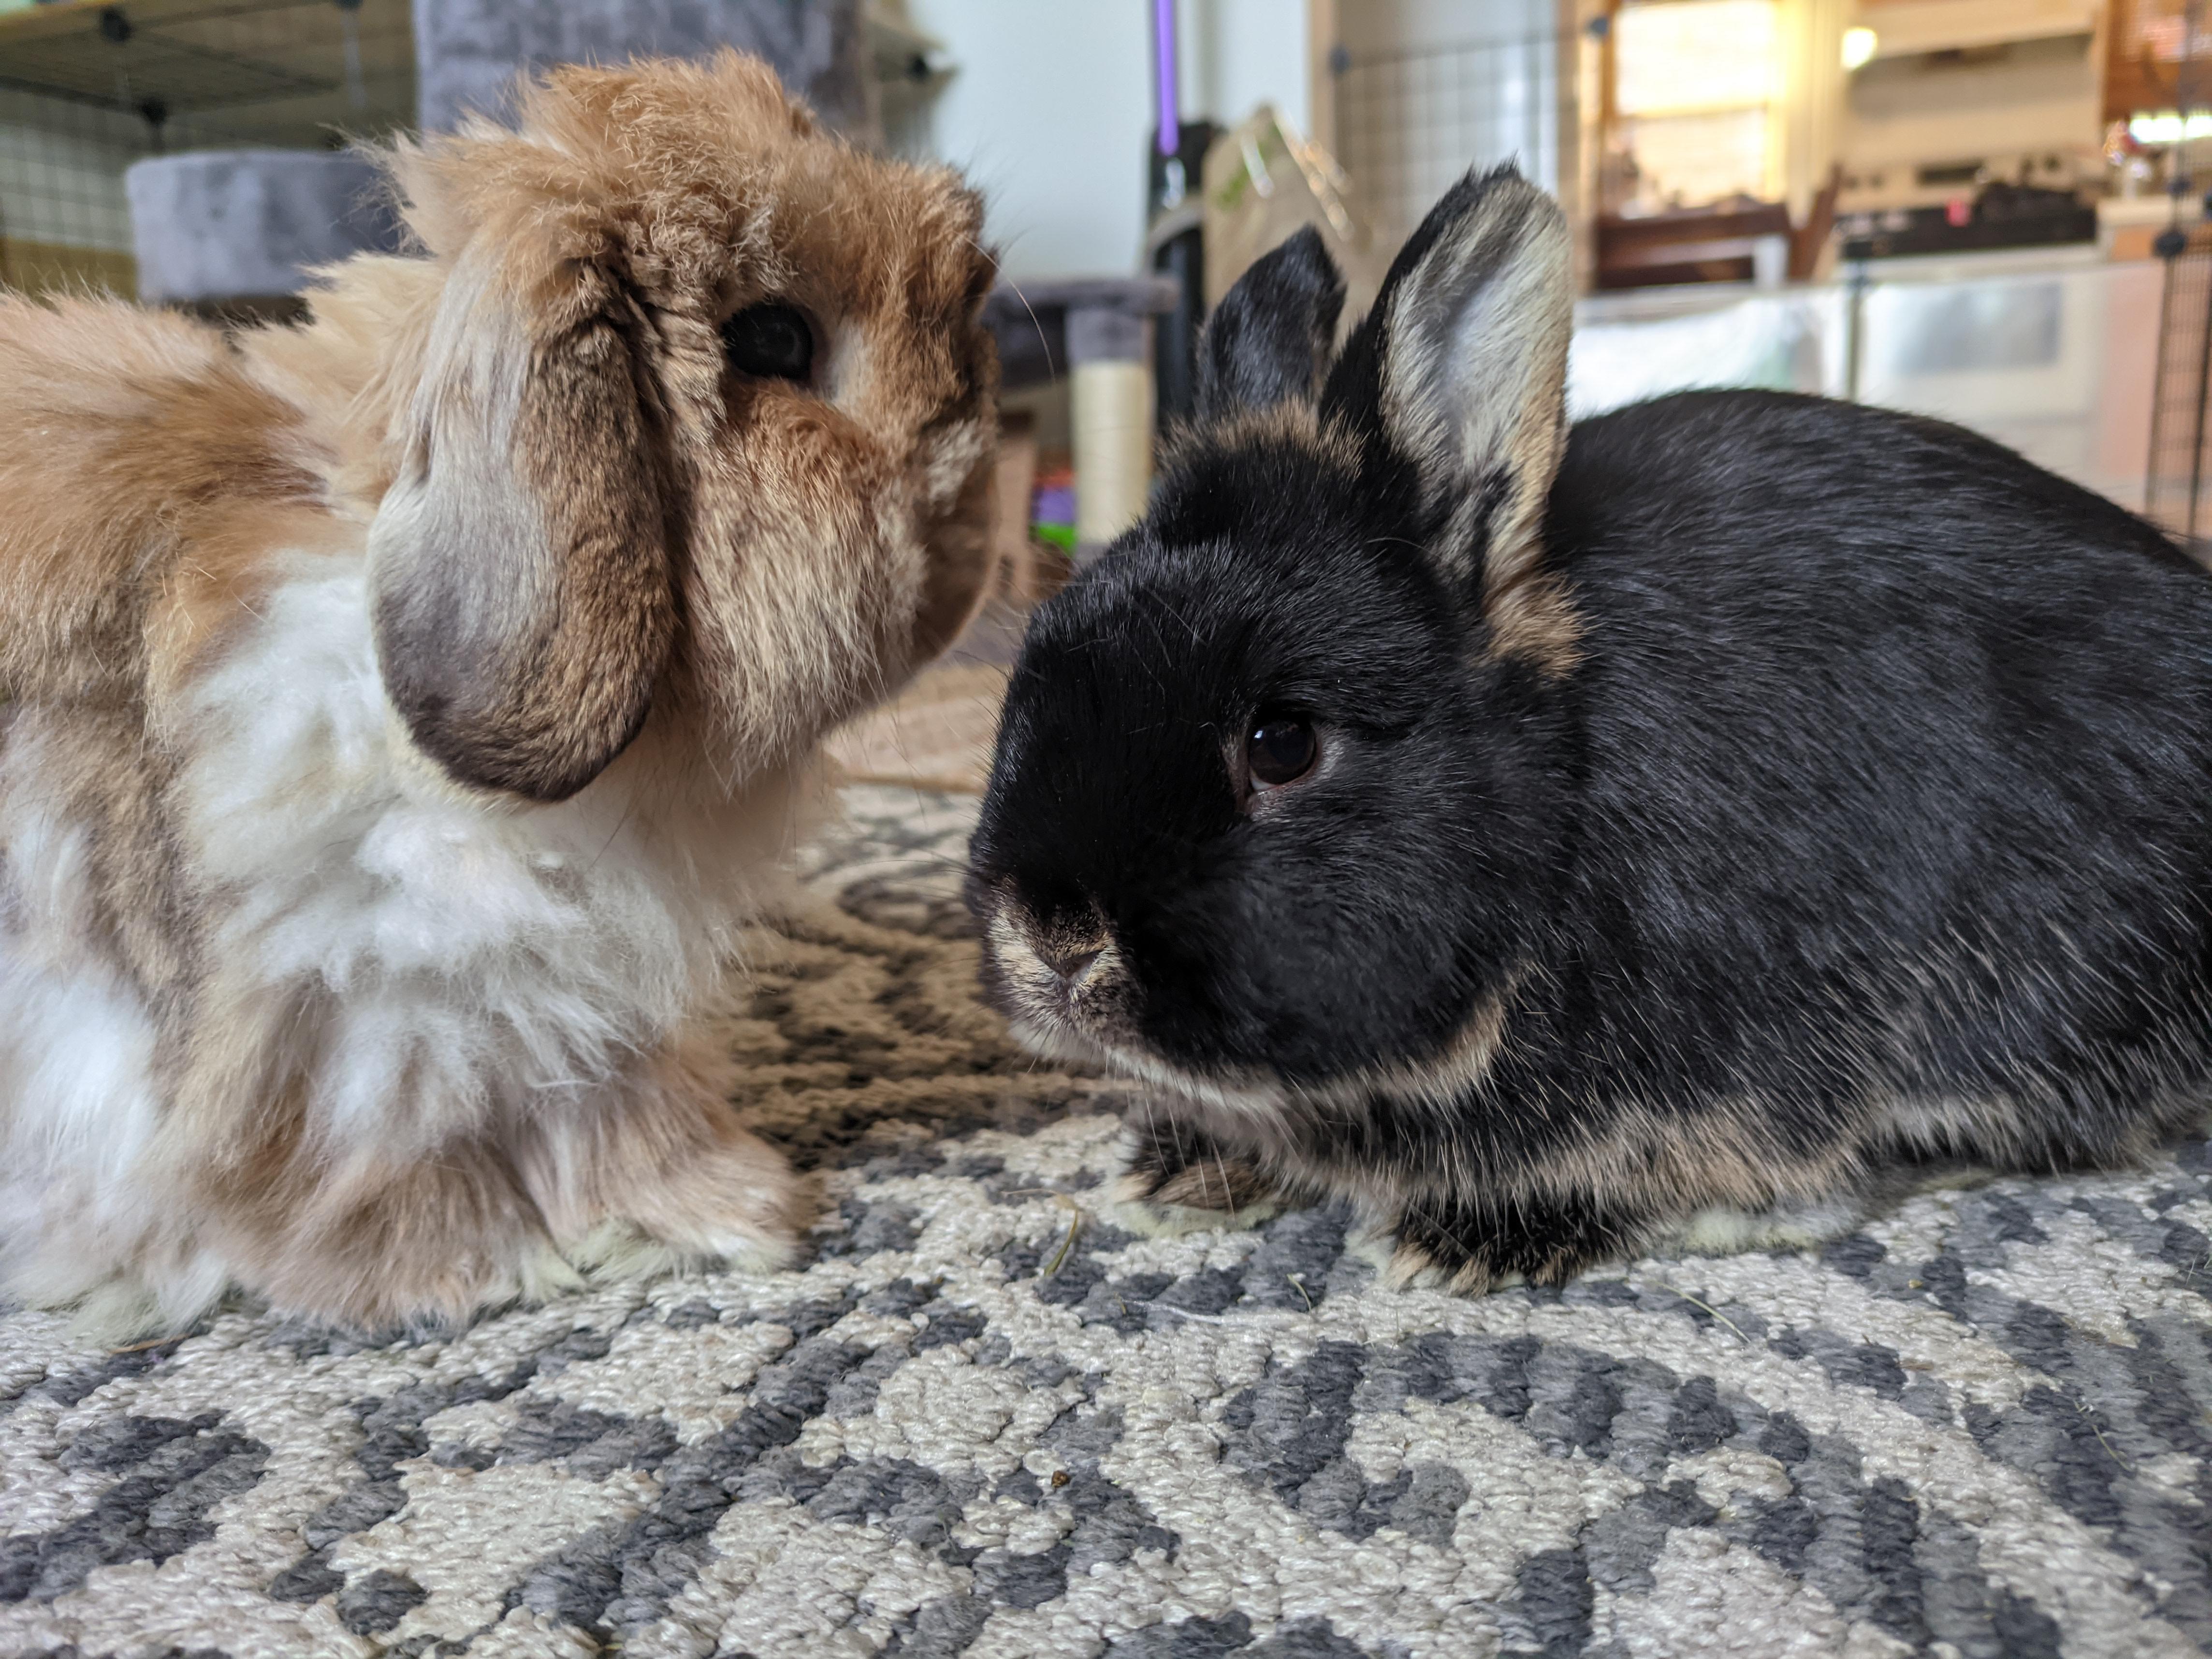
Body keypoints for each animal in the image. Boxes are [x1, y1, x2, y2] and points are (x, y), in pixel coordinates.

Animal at [0, 51, 1000, 1335]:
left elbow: (607, 1105)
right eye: (773, 338)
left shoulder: (564, 1002)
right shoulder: (337, 1016)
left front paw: (712, 1209)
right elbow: (375, 1148)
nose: (975, 509)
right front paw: (453, 1268)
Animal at [966, 163, 2212, 1293]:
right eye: (1035, 658)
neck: (1557, 806)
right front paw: (1179, 1171)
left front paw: (1472, 1240)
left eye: (1282, 743)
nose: (1052, 939)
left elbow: (1783, 1177)